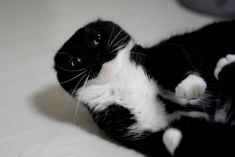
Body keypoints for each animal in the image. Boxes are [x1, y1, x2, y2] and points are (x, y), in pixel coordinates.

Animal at [54, 20, 235, 156]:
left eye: (97, 38)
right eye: (75, 61)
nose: (96, 57)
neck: (121, 80)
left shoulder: (156, 51)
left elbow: (172, 53)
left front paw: (190, 85)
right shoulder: (133, 133)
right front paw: (175, 135)